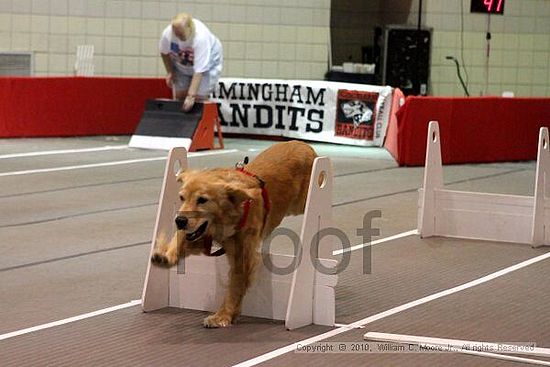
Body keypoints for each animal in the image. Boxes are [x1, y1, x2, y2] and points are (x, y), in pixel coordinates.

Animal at [152, 141, 320, 328]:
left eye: (202, 200)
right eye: (182, 197)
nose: (179, 220)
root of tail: (303, 145)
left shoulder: (242, 255)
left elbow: (235, 286)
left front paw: (222, 316)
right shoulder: (203, 237)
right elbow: (180, 239)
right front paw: (166, 257)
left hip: (301, 203)